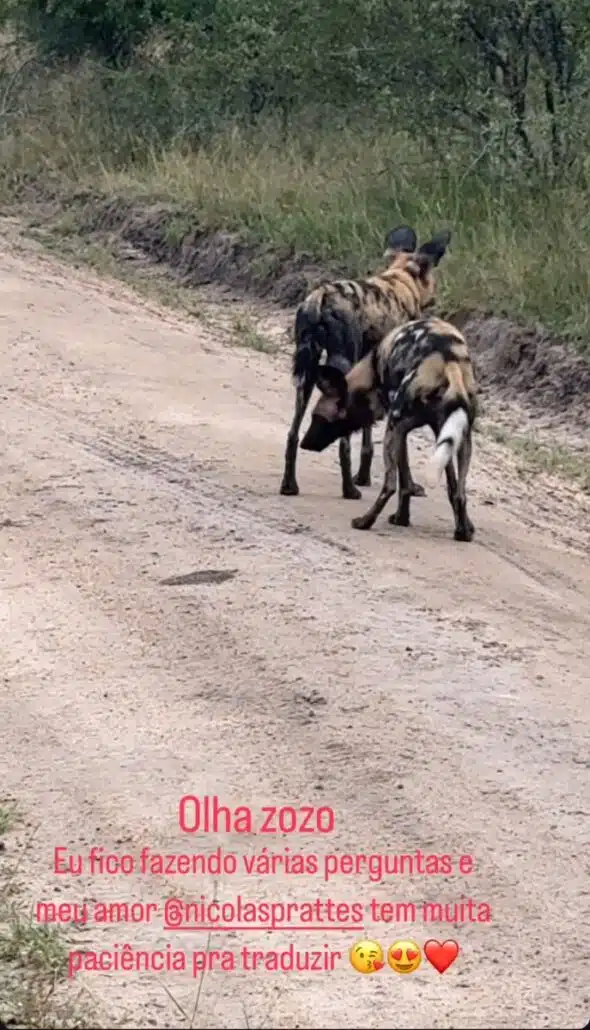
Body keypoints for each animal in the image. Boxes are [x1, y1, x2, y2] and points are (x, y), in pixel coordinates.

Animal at [280, 223, 450, 500]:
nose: (436, 298)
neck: (400, 281)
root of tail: (321, 296)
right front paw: (409, 485)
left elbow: (368, 436)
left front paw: (364, 475)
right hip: (340, 366)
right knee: (343, 440)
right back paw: (348, 489)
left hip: (306, 374)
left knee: (293, 433)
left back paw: (289, 484)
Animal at [298, 315, 477, 543]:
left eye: (318, 418)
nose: (304, 443)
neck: (372, 372)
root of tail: (449, 362)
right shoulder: (438, 431)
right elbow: (450, 485)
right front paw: (465, 526)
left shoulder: (399, 428)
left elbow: (404, 482)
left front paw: (401, 518)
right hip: (463, 439)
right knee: (460, 492)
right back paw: (462, 533)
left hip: (392, 429)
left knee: (389, 485)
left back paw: (364, 521)